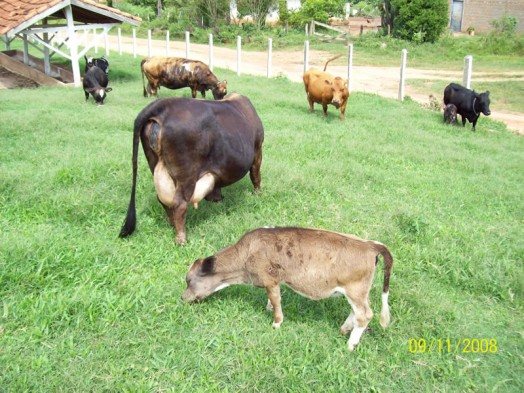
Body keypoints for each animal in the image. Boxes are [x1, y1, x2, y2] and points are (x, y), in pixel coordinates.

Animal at [120, 93, 264, 243]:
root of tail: (163, 104)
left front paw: (217, 199)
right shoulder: (258, 149)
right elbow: (255, 174)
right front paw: (258, 194)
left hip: (155, 164)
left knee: (163, 200)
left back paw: (172, 224)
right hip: (187, 173)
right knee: (179, 203)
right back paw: (181, 239)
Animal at [183, 225, 392, 350]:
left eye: (189, 280)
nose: (182, 298)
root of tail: (370, 245)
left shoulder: (270, 279)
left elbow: (276, 301)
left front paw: (276, 322)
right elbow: (272, 299)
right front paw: (268, 308)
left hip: (355, 290)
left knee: (365, 315)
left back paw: (350, 344)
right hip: (359, 292)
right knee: (358, 312)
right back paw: (344, 330)